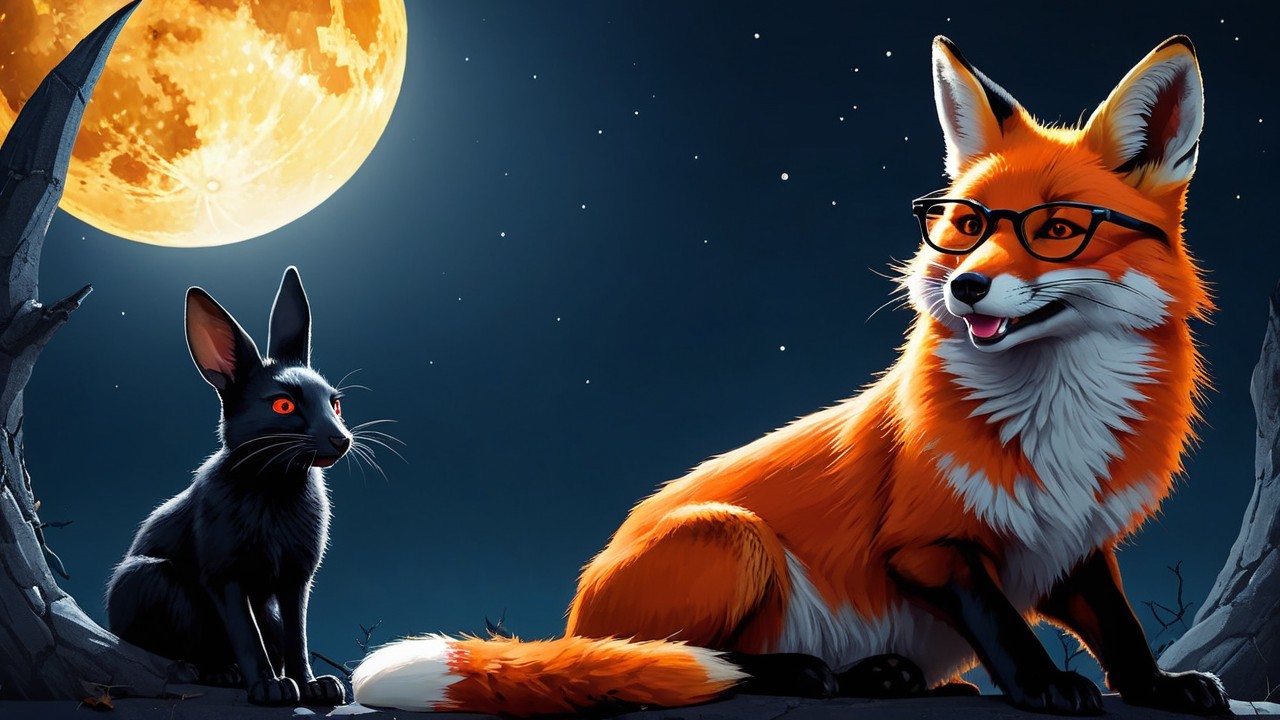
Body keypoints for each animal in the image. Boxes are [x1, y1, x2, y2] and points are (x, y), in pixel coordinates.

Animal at [107, 267, 349, 706]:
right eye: (284, 406)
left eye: (334, 403)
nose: (341, 440)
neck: (274, 482)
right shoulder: (226, 577)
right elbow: (246, 634)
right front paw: (271, 689)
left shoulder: (295, 580)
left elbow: (298, 635)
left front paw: (315, 688)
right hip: (149, 580)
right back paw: (217, 673)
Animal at [352, 35, 1230, 716]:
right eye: (965, 225)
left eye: (1055, 230)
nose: (965, 286)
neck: (1059, 419)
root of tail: (573, 618)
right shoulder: (926, 544)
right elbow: (1001, 623)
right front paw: (1044, 685)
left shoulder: (1074, 542)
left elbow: (1120, 629)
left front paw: (1159, 687)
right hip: (734, 537)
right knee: (687, 660)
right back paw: (810, 671)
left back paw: (887, 675)